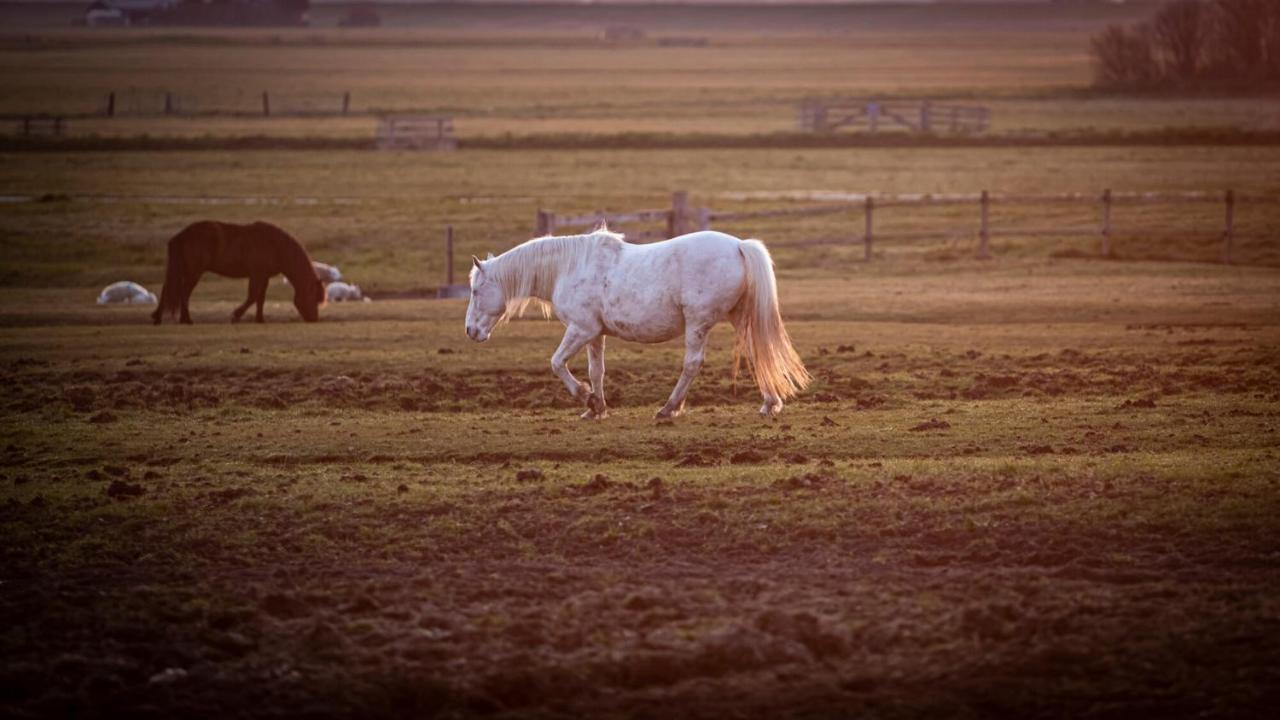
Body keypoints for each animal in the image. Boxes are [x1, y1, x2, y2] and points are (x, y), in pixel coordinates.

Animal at [151, 220, 325, 324]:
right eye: (313, 298)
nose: (314, 319)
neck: (275, 245)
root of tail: (180, 236)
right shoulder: (257, 275)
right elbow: (252, 296)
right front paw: (236, 315)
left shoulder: (264, 277)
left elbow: (260, 298)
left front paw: (260, 319)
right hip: (194, 272)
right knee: (184, 292)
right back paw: (186, 319)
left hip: (183, 270)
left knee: (168, 289)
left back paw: (159, 317)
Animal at [465, 229, 808, 417]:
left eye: (475, 290)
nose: (470, 331)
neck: (568, 267)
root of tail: (739, 245)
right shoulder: (595, 334)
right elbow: (596, 371)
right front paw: (596, 408)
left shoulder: (581, 329)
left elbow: (557, 363)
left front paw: (586, 397)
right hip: (738, 318)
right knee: (756, 353)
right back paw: (770, 403)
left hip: (698, 324)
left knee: (692, 363)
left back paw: (669, 408)